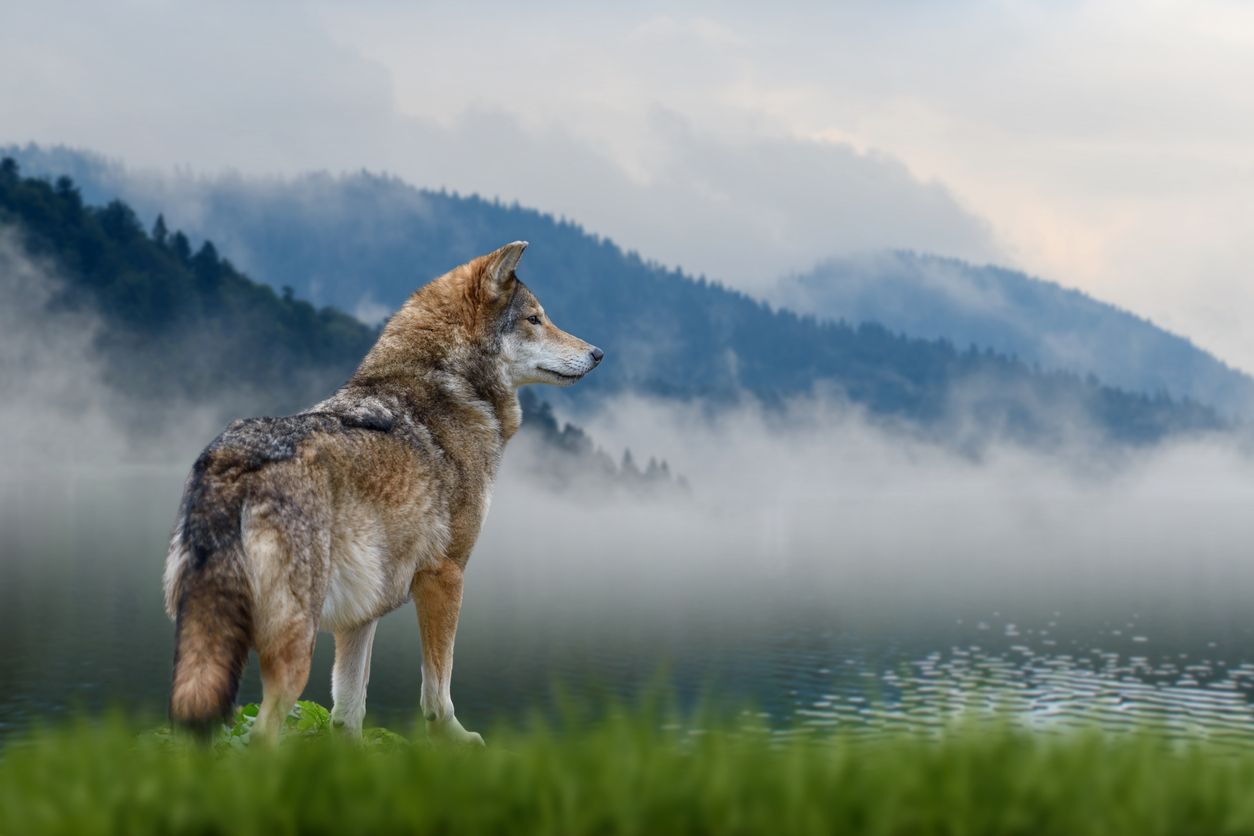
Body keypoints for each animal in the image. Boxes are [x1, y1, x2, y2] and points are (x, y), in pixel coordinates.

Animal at [163, 241, 602, 744]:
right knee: (261, 736)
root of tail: (233, 462)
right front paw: (457, 740)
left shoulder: (362, 611)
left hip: (205, 648)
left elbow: (349, 708)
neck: (448, 387)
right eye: (535, 319)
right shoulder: (445, 576)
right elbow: (438, 690)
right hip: (293, 649)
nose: (598, 353)